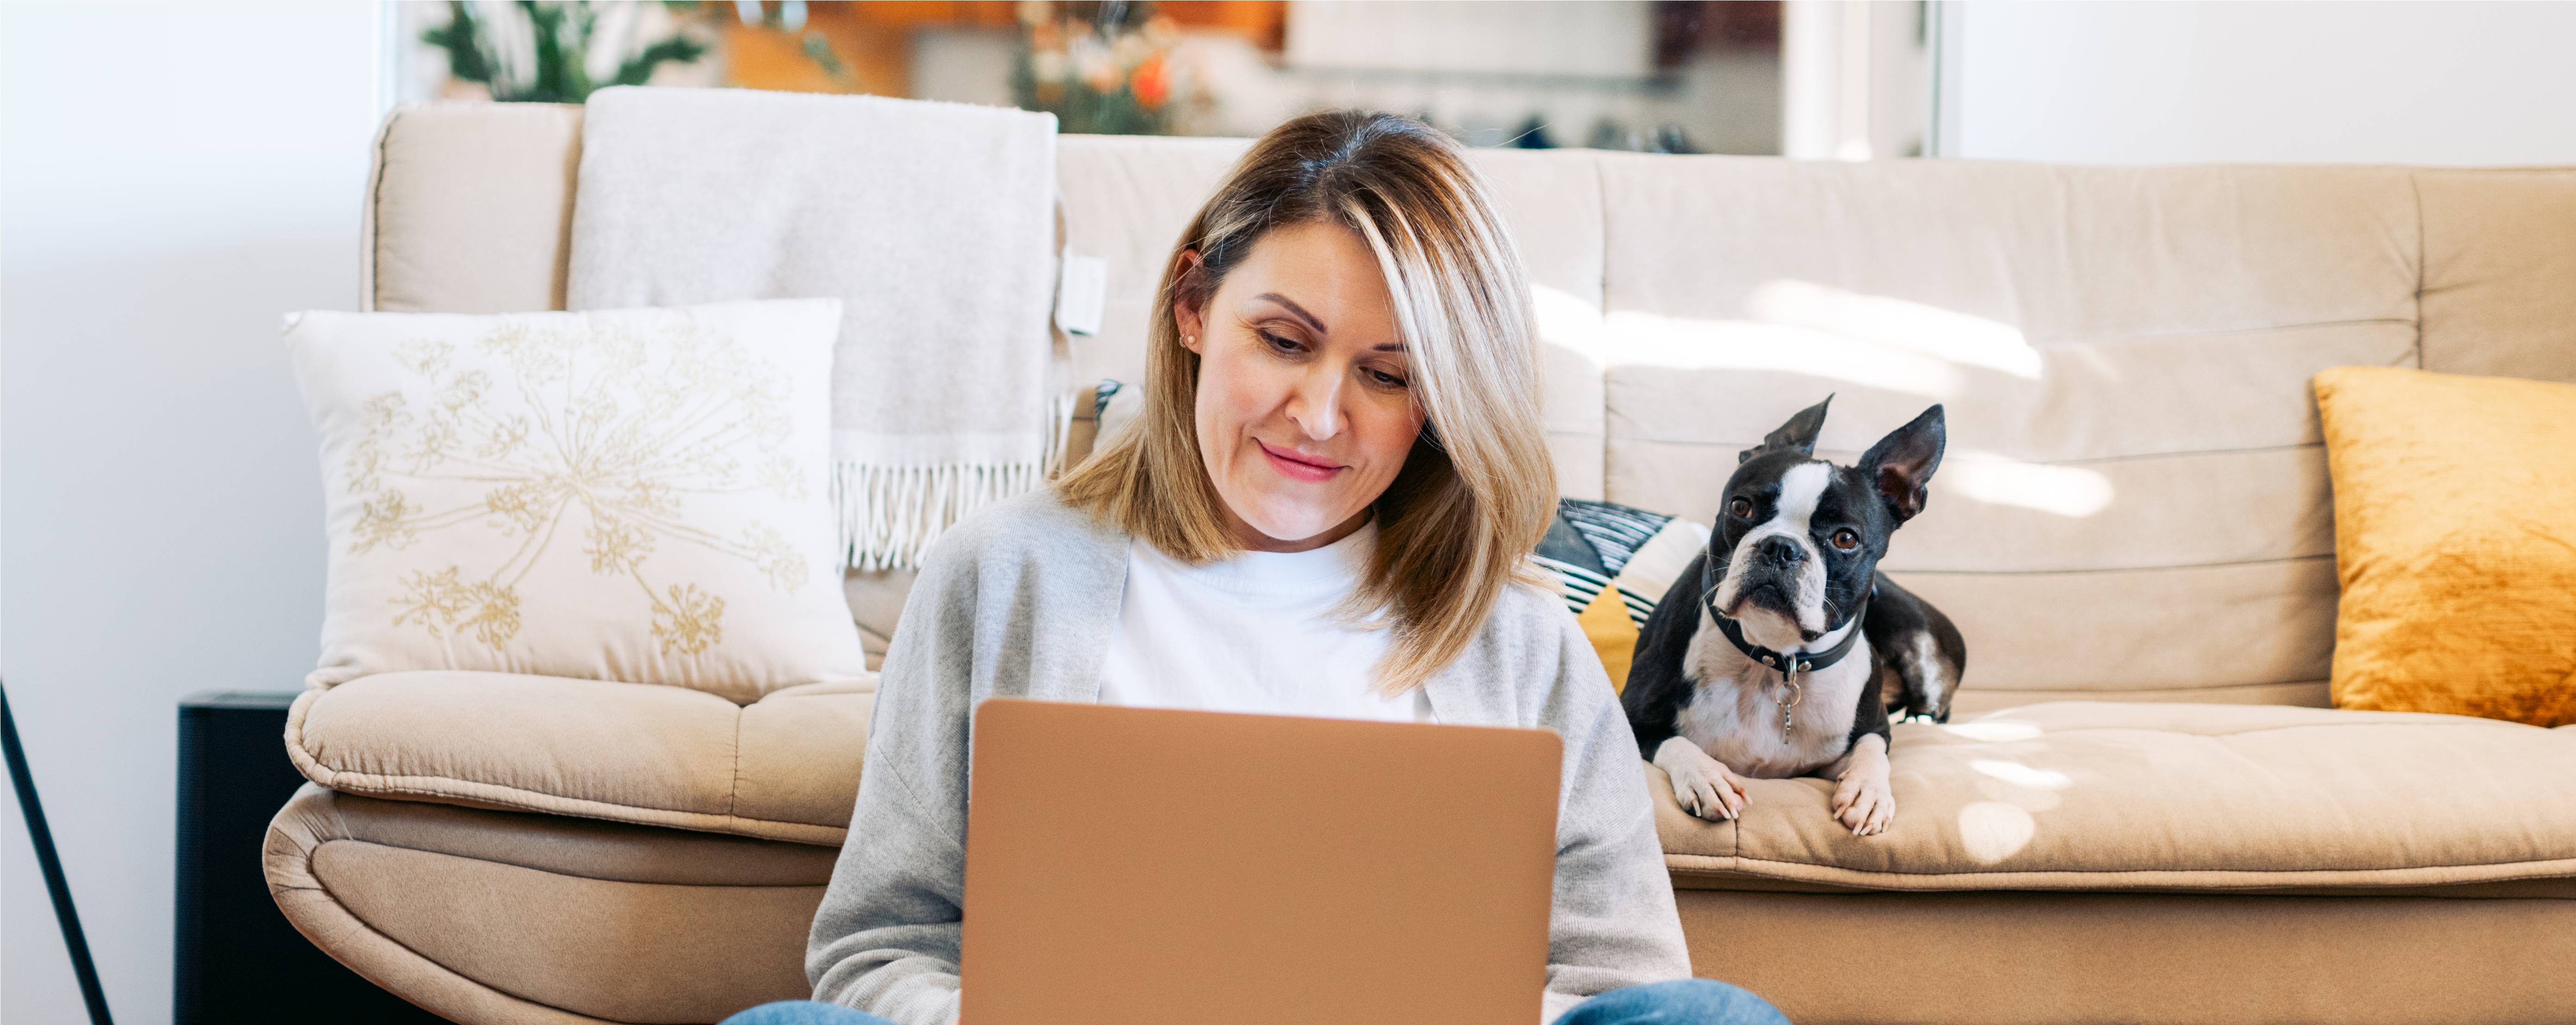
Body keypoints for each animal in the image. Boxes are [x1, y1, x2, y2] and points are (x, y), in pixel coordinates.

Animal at [1618, 396, 1958, 834]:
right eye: (1740, 507)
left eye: (1845, 539)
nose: (1780, 547)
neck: (1775, 658)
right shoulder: (1631, 715)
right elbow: (1674, 741)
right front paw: (1707, 778)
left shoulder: (1868, 733)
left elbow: (1872, 747)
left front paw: (1868, 791)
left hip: (1920, 648)